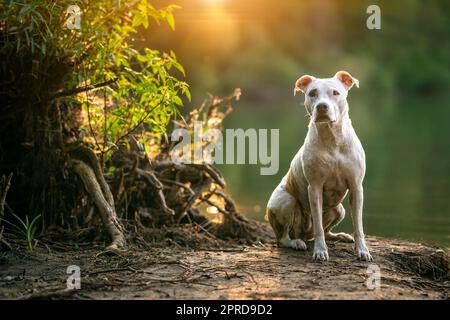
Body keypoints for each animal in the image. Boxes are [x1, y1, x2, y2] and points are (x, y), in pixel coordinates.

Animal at [268, 71, 372, 262]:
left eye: (335, 93)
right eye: (312, 93)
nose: (322, 107)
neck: (333, 139)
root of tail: (303, 234)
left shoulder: (356, 187)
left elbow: (358, 225)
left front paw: (362, 250)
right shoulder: (315, 188)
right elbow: (318, 226)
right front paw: (320, 251)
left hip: (339, 209)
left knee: (327, 229)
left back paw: (339, 236)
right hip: (285, 202)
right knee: (284, 237)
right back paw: (296, 243)